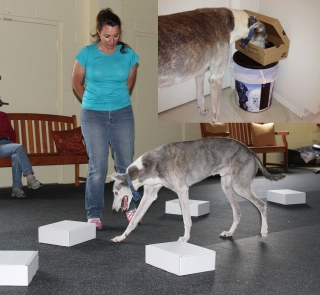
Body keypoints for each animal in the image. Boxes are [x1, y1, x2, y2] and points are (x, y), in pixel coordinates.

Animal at [109, 138, 284, 243]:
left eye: (116, 193)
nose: (113, 210)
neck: (149, 165)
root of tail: (251, 152)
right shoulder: (150, 194)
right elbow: (134, 220)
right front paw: (120, 237)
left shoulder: (182, 190)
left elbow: (187, 219)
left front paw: (186, 238)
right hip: (227, 186)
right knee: (238, 212)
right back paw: (229, 233)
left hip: (239, 186)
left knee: (262, 204)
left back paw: (264, 231)